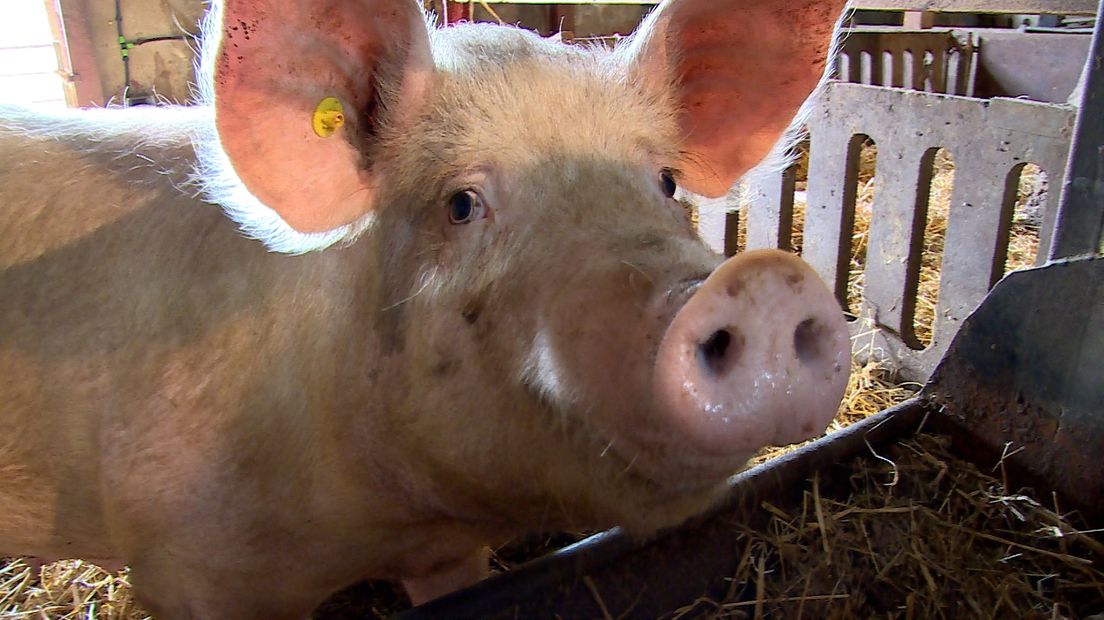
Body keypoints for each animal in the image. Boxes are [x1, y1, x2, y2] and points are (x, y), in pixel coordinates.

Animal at [0, 0, 843, 608]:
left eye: (665, 182)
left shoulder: (451, 553)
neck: (381, 520)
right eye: (461, 204)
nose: (762, 281)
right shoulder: (189, 569)